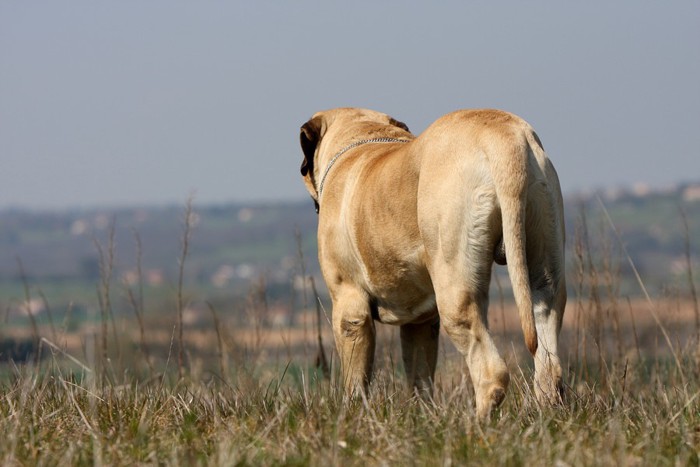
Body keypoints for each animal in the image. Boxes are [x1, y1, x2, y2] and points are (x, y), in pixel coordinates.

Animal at [298, 107, 568, 416]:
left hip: (455, 290)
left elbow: (356, 382)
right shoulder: (420, 323)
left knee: (491, 372)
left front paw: (353, 414)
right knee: (548, 361)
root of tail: (504, 137)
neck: (359, 139)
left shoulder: (350, 310)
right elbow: (419, 376)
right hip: (543, 261)